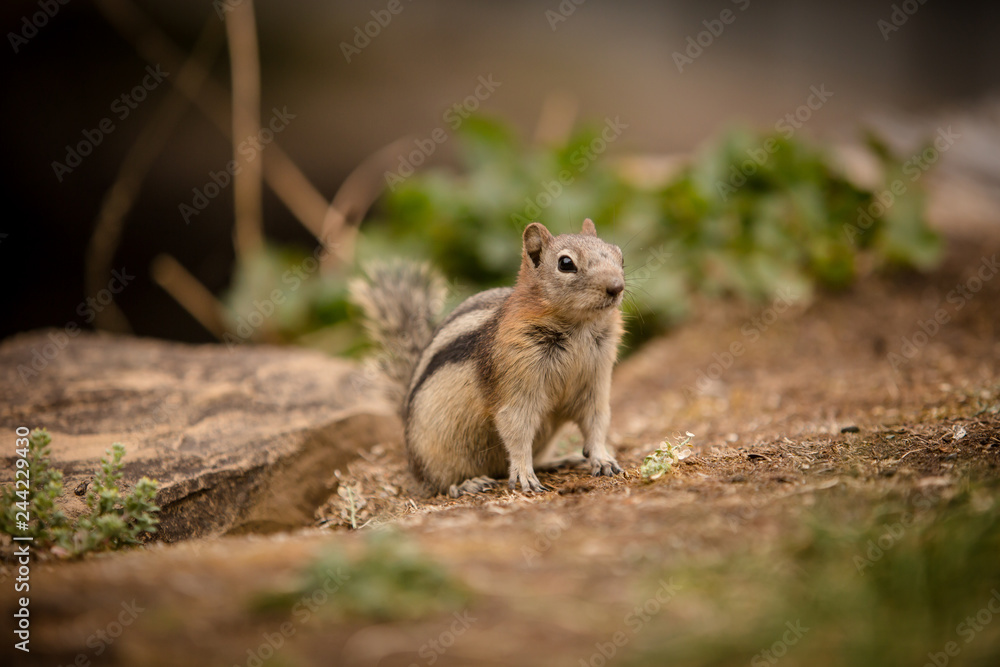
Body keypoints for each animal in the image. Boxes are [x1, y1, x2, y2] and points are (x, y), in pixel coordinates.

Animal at [350, 218, 626, 496]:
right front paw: (524, 474)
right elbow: (516, 428)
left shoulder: (595, 381)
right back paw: (468, 483)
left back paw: (559, 460)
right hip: (435, 454)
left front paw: (603, 458)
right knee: (437, 483)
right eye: (566, 263)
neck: (579, 328)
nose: (617, 287)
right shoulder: (515, 384)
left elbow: (597, 420)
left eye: (619, 255)